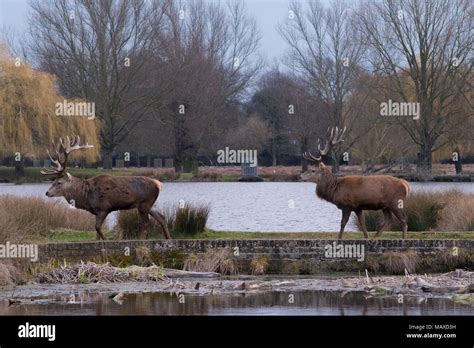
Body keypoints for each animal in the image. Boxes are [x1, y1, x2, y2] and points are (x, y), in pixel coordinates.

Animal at [40, 136, 170, 239]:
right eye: (53, 180)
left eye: (59, 182)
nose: (47, 193)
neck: (86, 196)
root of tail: (158, 184)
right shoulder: (97, 212)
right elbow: (96, 232)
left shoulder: (104, 208)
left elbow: (97, 227)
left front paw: (105, 241)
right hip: (149, 204)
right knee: (162, 218)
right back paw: (168, 239)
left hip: (144, 203)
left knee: (146, 223)